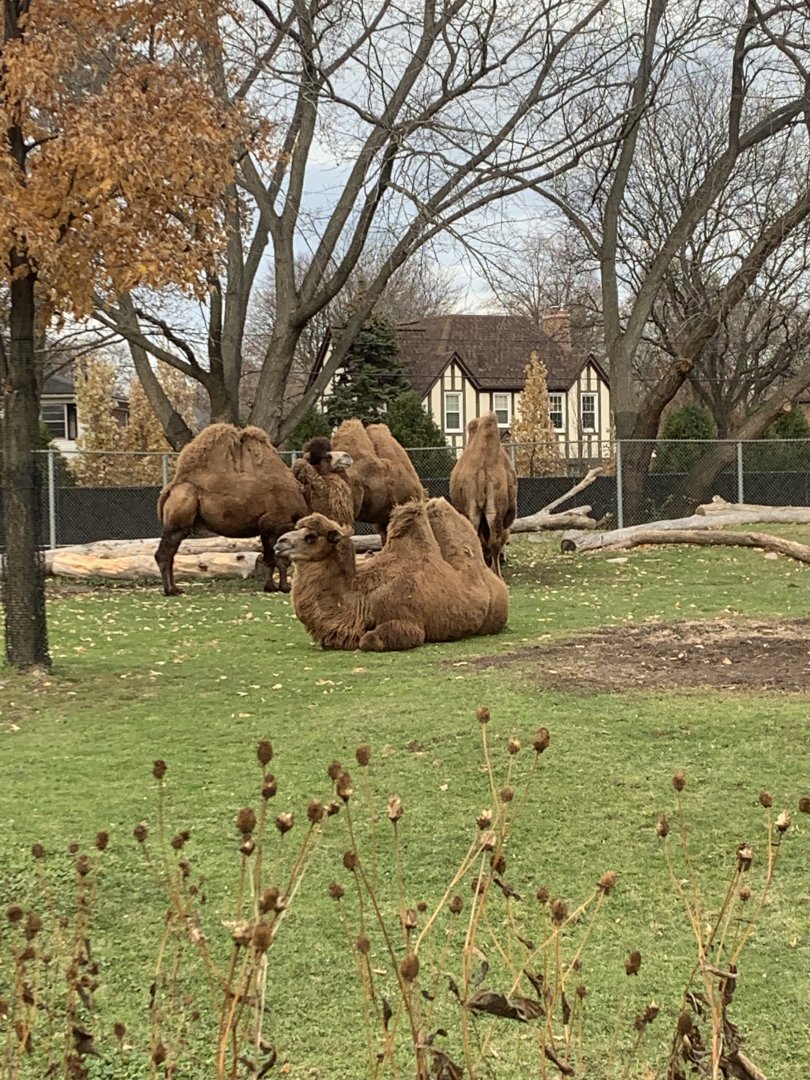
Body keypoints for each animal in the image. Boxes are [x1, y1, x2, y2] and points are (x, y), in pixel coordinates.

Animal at [155, 424, 307, 596]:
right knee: (164, 553)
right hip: (178, 517)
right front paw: (285, 587)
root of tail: (170, 489)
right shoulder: (280, 523)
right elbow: (282, 560)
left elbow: (269, 559)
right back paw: (170, 590)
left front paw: (270, 587)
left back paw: (175, 588)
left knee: (170, 553)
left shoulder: (265, 527)